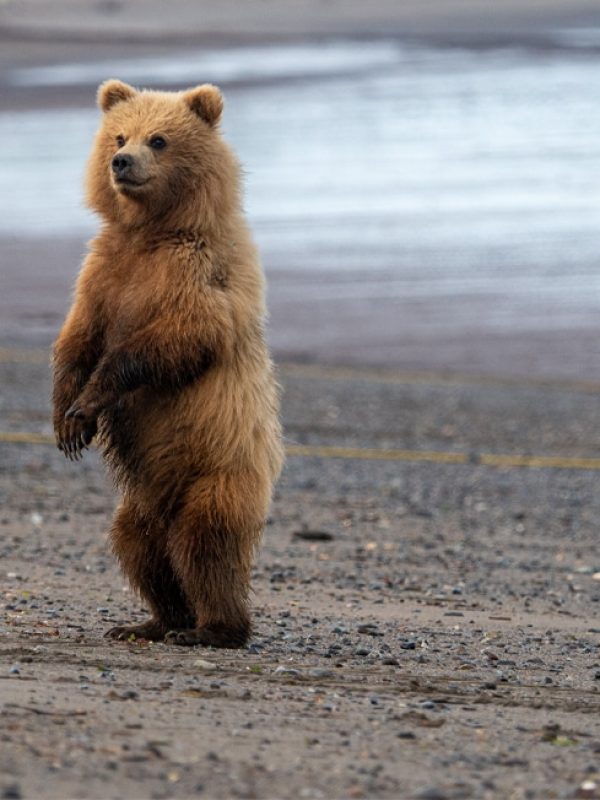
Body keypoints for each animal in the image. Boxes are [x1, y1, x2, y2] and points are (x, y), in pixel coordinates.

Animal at [52, 79, 284, 648]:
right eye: (119, 135)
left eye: (158, 139)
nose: (122, 162)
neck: (151, 232)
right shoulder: (103, 272)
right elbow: (77, 338)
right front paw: (65, 420)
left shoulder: (196, 274)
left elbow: (170, 343)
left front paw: (87, 404)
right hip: (141, 501)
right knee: (139, 546)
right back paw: (152, 621)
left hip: (219, 472)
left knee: (206, 545)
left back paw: (214, 628)